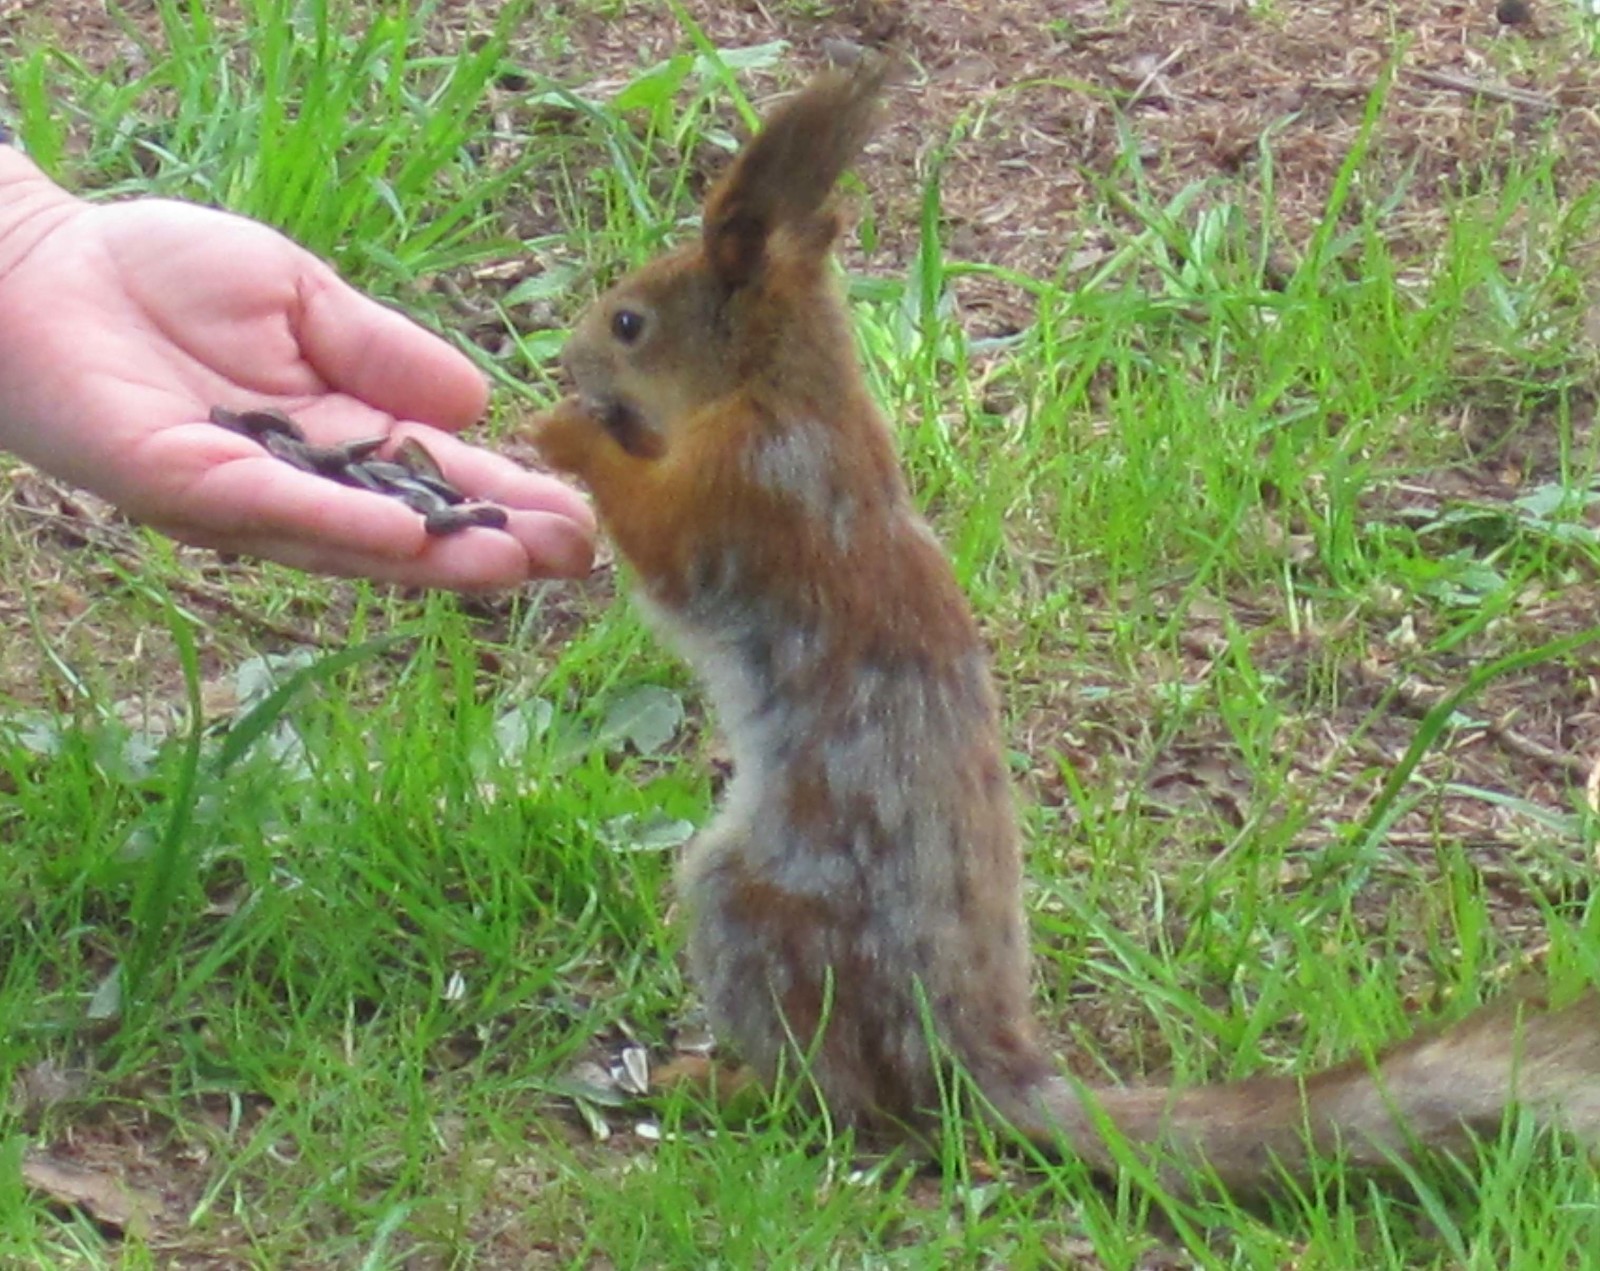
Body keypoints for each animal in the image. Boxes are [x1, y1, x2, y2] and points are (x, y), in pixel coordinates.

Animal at [528, 64, 1600, 1190]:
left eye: (631, 322)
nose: (570, 352)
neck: (788, 395)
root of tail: (970, 1056)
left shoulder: (749, 495)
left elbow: (665, 546)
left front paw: (565, 431)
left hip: (761, 910)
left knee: (837, 1098)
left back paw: (722, 1083)